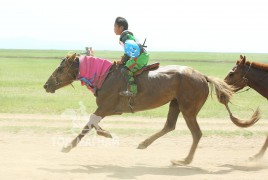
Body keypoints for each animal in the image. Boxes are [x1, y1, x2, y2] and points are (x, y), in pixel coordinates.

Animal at [44, 53, 260, 165]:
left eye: (60, 69)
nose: (46, 85)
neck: (105, 76)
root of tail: (203, 77)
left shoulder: (106, 107)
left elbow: (88, 124)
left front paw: (67, 146)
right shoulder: (107, 109)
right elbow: (93, 123)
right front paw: (105, 133)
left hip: (188, 109)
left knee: (196, 133)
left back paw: (184, 160)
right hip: (175, 104)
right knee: (169, 126)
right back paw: (144, 144)